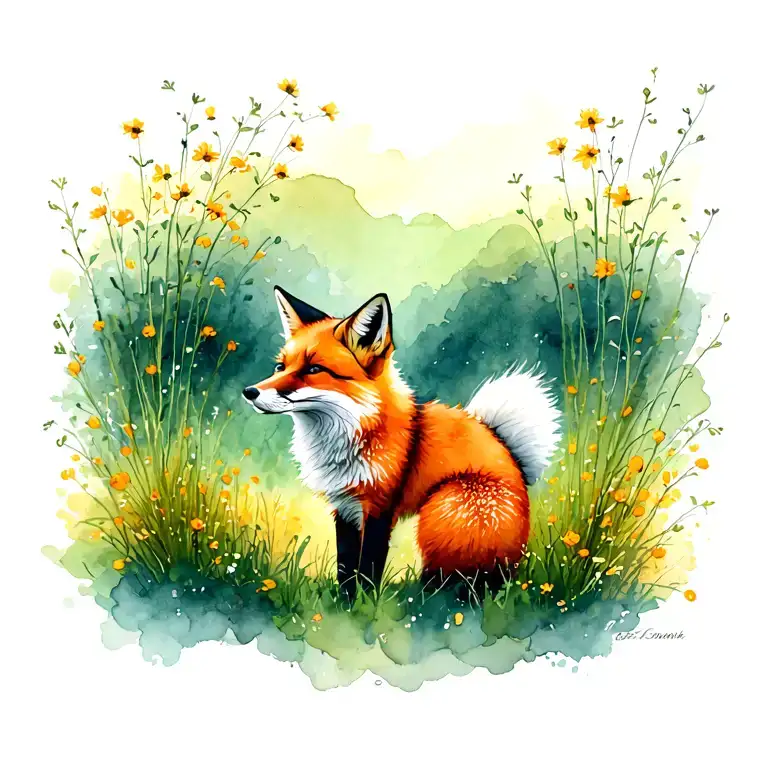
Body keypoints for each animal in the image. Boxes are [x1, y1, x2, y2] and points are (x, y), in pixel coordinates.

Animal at [243, 287, 560, 597]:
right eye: (280, 367)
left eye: (313, 369)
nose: (249, 392)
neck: (352, 436)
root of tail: (516, 463)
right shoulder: (344, 506)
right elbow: (346, 565)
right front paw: (344, 601)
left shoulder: (380, 507)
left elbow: (368, 566)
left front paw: (365, 603)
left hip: (444, 504)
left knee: (462, 582)